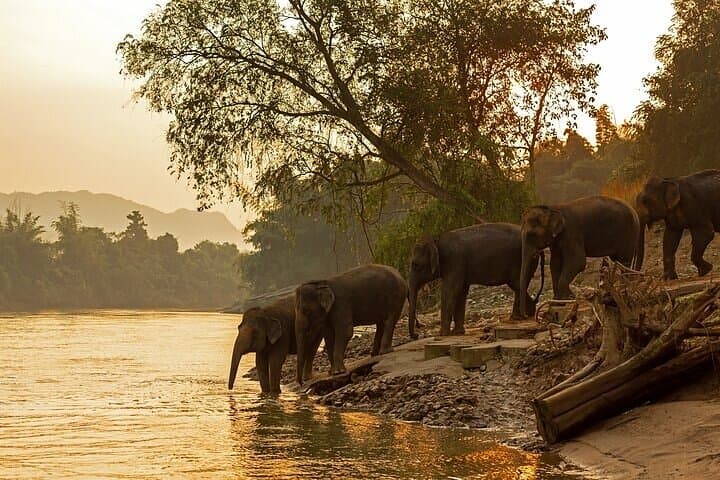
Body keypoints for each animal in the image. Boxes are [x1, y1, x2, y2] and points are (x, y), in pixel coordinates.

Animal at [407, 223, 544, 338]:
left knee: (517, 285)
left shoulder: (454, 262)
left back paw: (521, 316)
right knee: (519, 286)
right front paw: (457, 333)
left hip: (521, 260)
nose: (417, 335)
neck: (436, 239)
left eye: (415, 265)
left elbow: (450, 291)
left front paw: (443, 334)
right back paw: (524, 315)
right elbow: (461, 292)